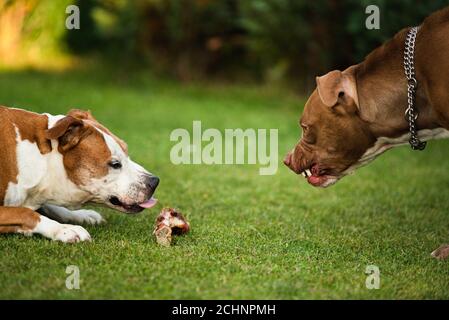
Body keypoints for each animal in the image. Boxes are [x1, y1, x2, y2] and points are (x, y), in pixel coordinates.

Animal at [0, 106, 159, 241]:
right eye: (115, 164)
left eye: (126, 151)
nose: (155, 181)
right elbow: (26, 213)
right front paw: (63, 229)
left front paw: (81, 214)